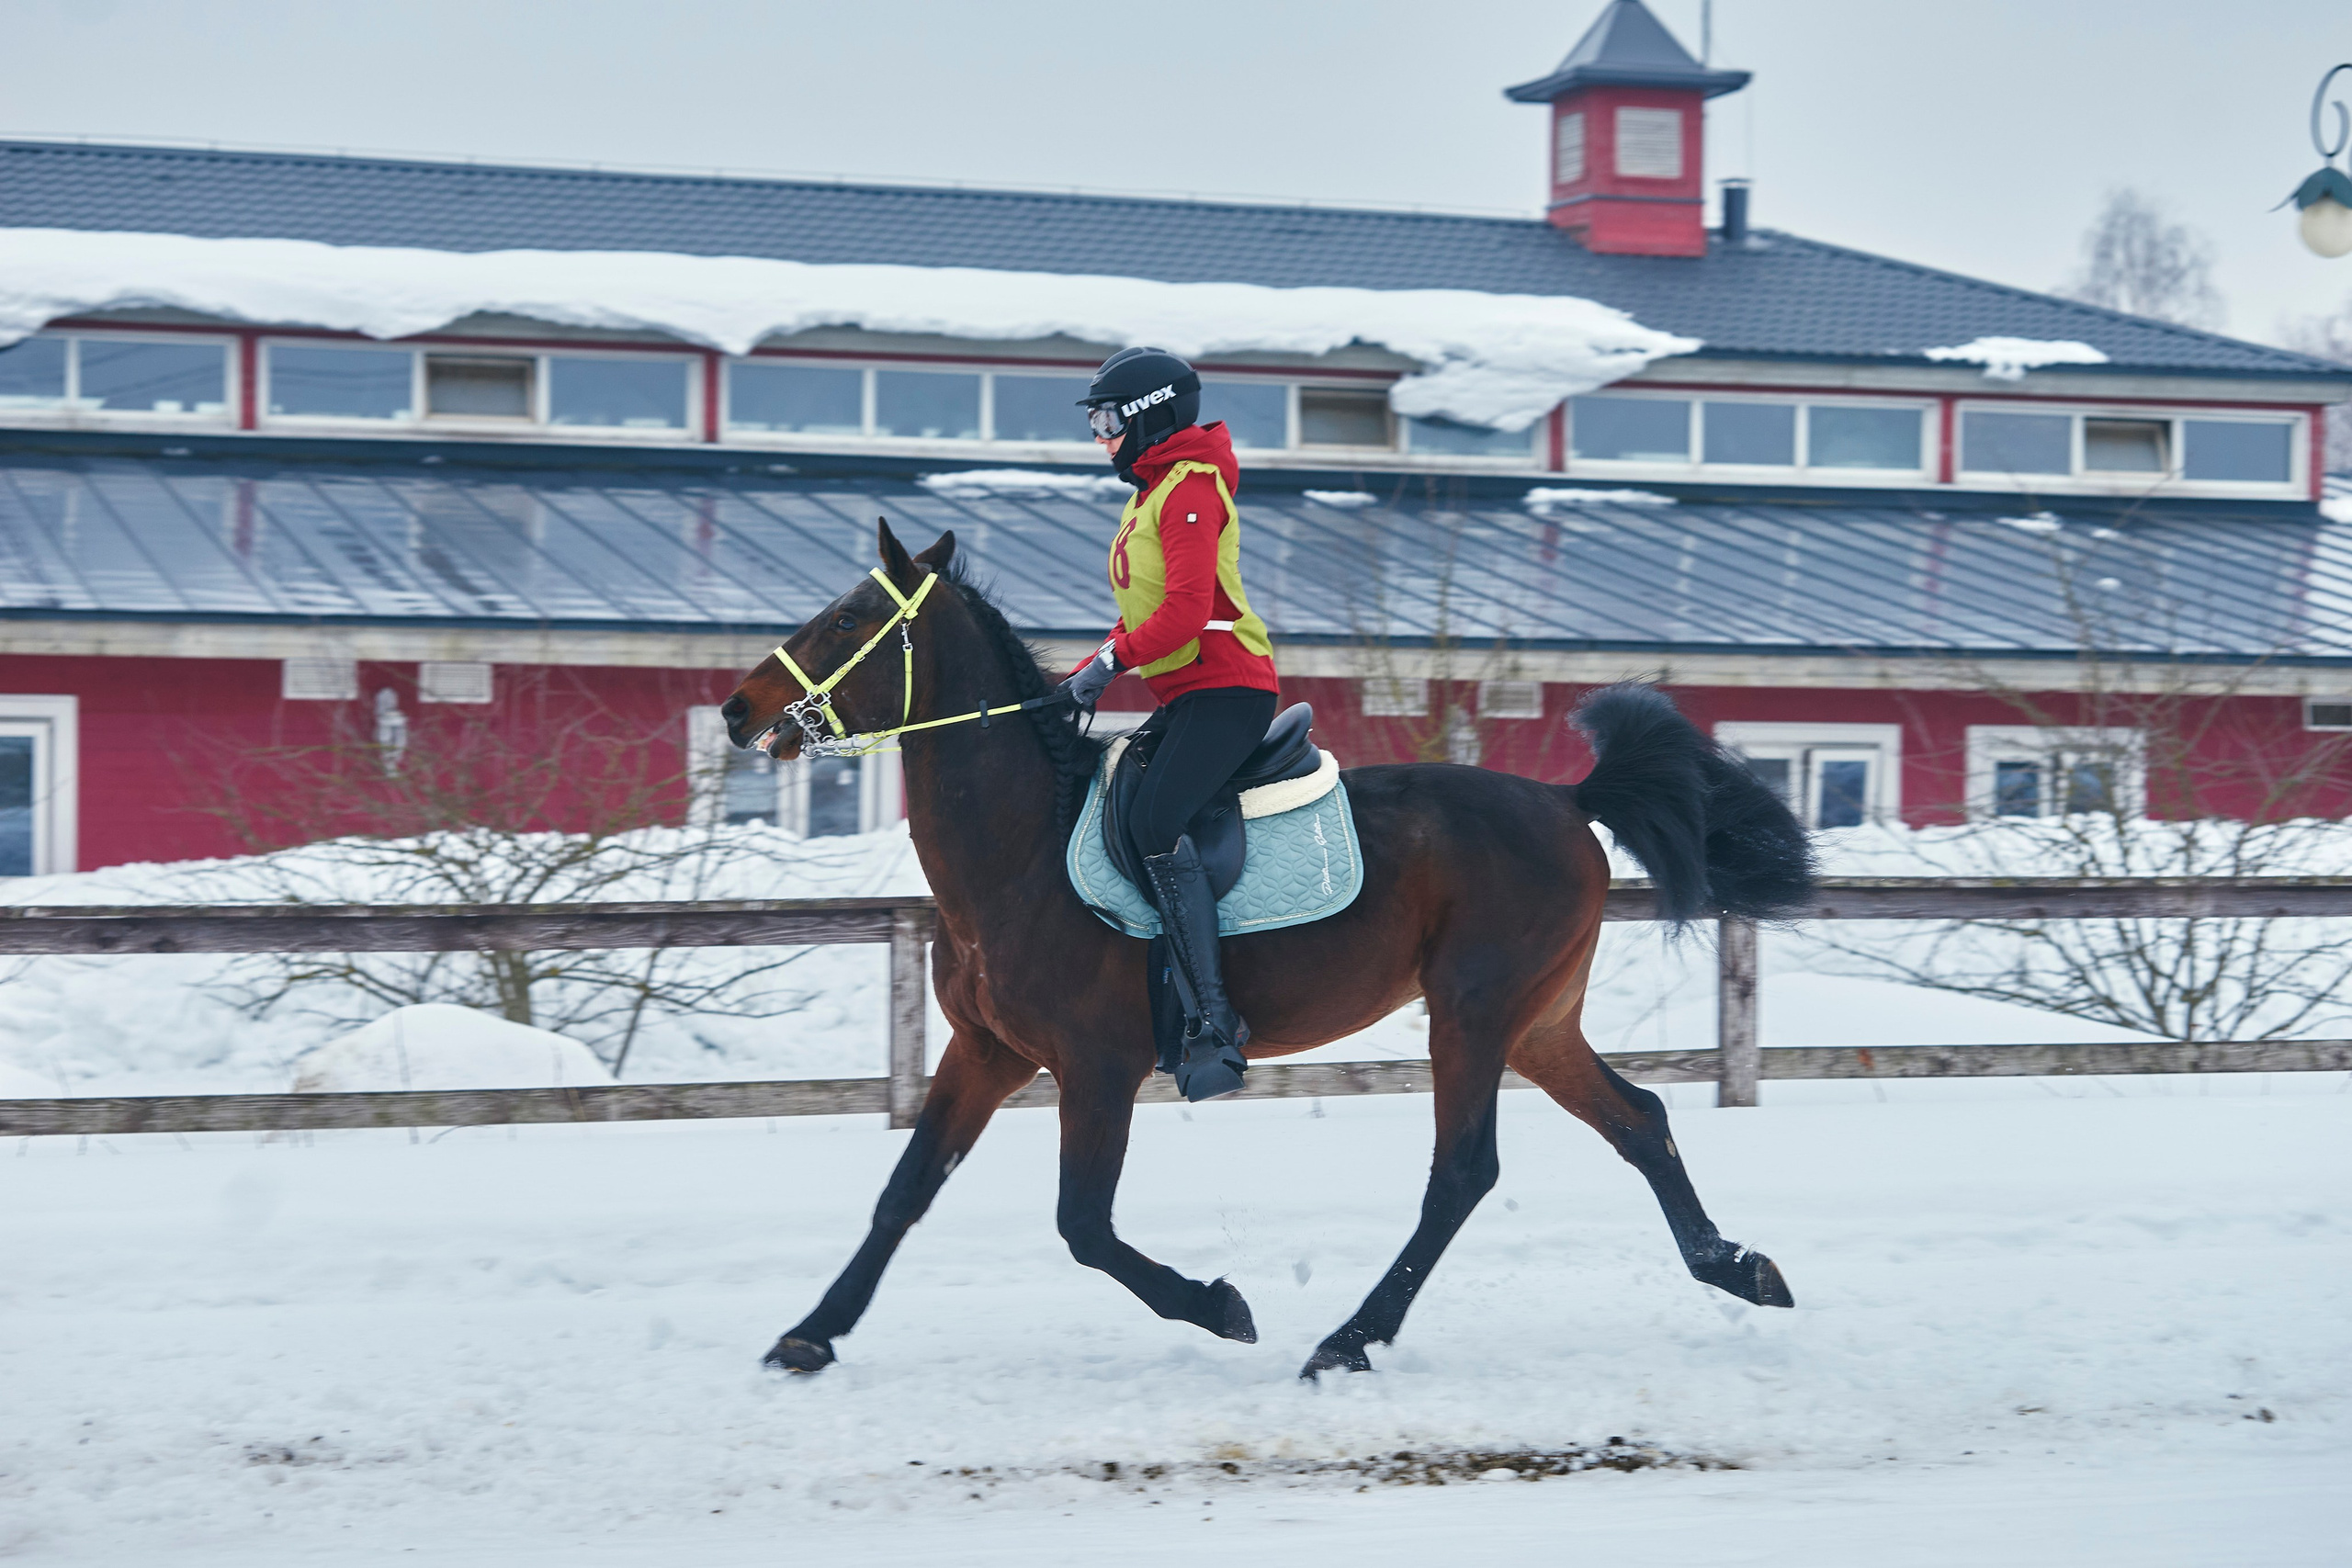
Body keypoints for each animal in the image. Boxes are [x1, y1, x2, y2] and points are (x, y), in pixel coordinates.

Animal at [720, 520, 1815, 1380]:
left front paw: (1217, 1305)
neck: (1021, 849)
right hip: (1538, 1022)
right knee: (1638, 1122)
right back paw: (1737, 1266)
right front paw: (812, 1334)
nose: (737, 710)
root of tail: (1566, 798)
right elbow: (905, 1190)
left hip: (1475, 1012)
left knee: (1463, 1169)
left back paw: (1348, 1339)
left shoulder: (1097, 1066)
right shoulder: (986, 1050)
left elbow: (1084, 1225)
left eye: (846, 620)